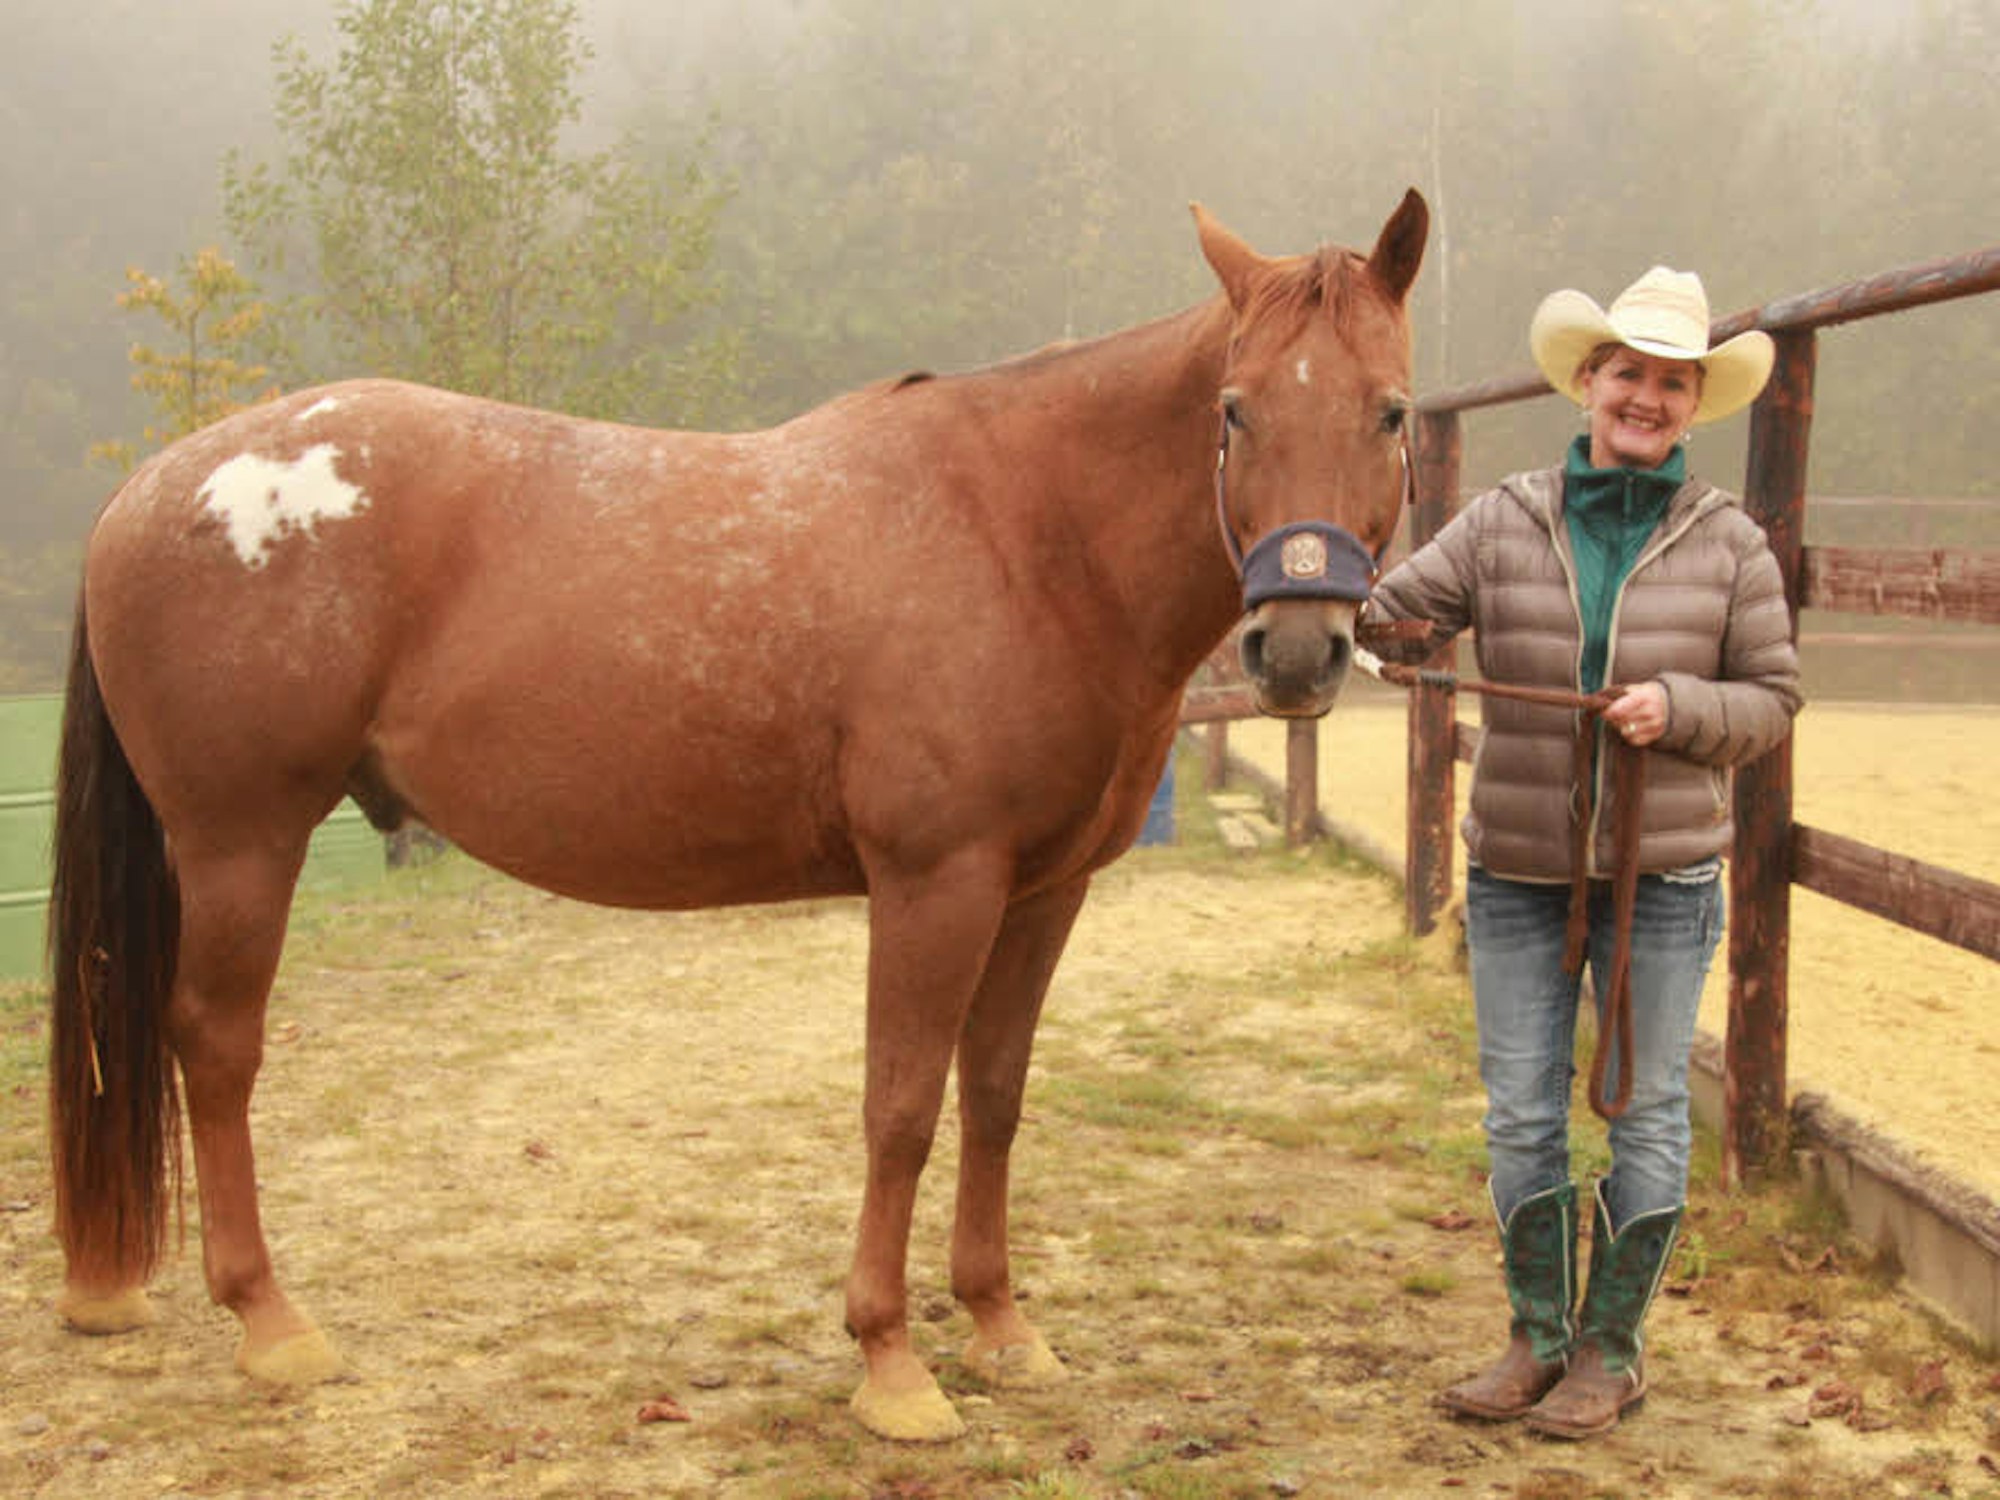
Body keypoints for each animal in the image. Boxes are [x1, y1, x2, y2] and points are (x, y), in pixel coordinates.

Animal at [48, 190, 1427, 1441]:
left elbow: (991, 1095)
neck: (1026, 536)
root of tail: (154, 488)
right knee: (215, 1047)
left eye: (1390, 410)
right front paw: (891, 1365)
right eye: (1234, 409)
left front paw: (999, 1329)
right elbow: (899, 1108)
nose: (1297, 651)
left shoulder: (1044, 889)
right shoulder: (936, 883)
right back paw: (271, 1324)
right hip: (241, 841)